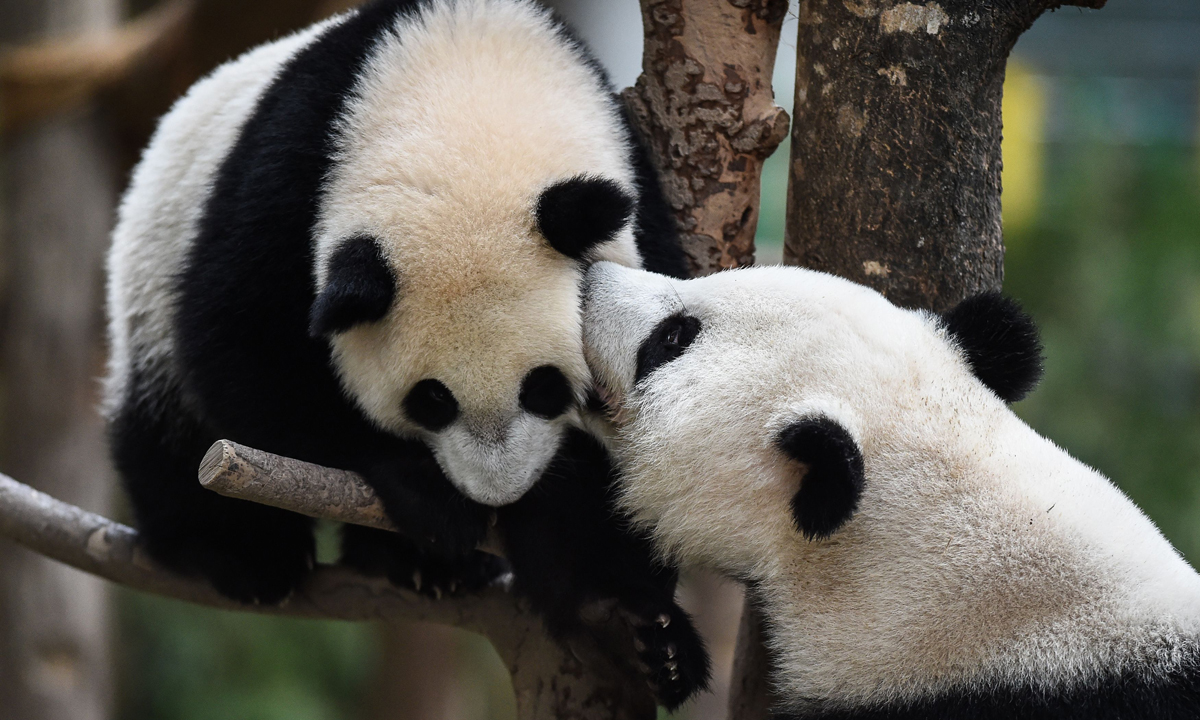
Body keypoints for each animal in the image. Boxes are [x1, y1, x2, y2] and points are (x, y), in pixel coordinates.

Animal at [104, 0, 709, 706]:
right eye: (432, 400)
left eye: (545, 386)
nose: (498, 491)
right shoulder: (290, 180)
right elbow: (239, 353)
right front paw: (432, 499)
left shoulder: (635, 199)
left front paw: (616, 609)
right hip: (151, 273)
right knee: (170, 429)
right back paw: (252, 555)